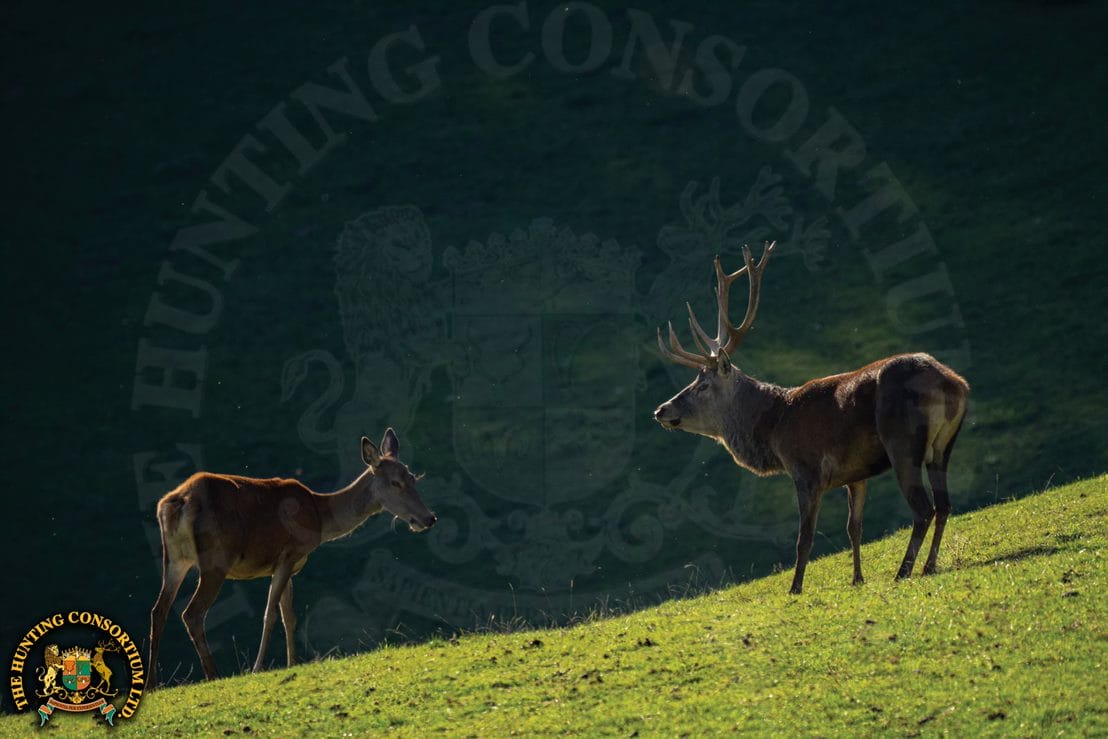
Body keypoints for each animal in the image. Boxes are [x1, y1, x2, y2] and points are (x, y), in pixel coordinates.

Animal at [146, 429, 436, 688]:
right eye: (395, 483)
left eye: (413, 477)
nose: (429, 518)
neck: (320, 516)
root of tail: (177, 502)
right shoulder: (289, 553)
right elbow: (271, 613)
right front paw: (257, 668)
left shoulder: (292, 565)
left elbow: (290, 616)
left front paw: (291, 663)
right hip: (216, 560)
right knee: (192, 613)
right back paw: (212, 675)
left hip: (174, 558)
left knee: (159, 610)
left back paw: (151, 683)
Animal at [654, 242, 969, 594]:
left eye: (702, 385)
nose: (661, 410)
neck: (773, 427)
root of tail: (952, 383)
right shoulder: (856, 474)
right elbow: (853, 527)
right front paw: (857, 579)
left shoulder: (807, 470)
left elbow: (804, 538)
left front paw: (795, 588)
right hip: (943, 446)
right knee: (944, 504)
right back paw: (929, 566)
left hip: (902, 441)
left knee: (923, 509)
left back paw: (904, 571)